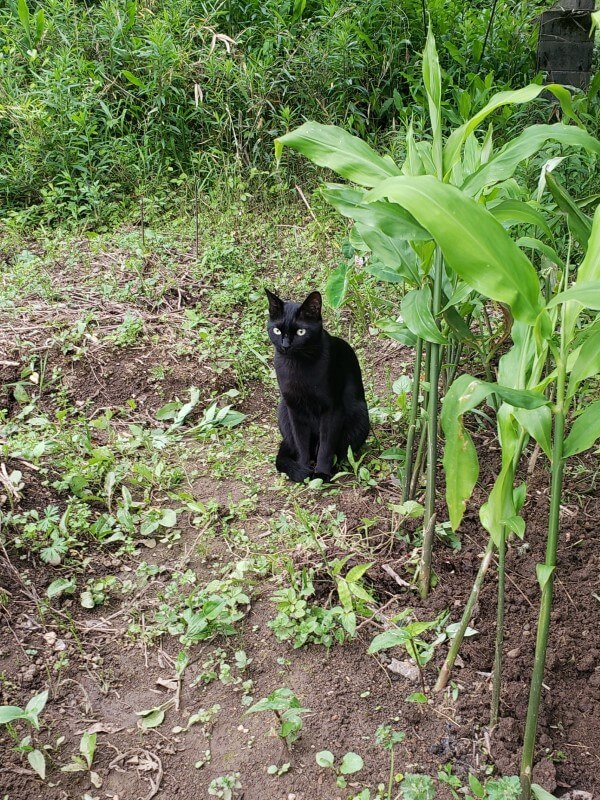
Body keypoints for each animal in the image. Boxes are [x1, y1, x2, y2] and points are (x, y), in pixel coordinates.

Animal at [264, 290, 368, 482]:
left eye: (301, 332)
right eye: (277, 330)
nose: (285, 345)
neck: (297, 367)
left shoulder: (332, 408)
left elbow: (326, 445)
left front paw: (321, 473)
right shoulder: (294, 409)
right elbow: (301, 442)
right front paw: (303, 469)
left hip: (359, 413)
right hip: (282, 410)